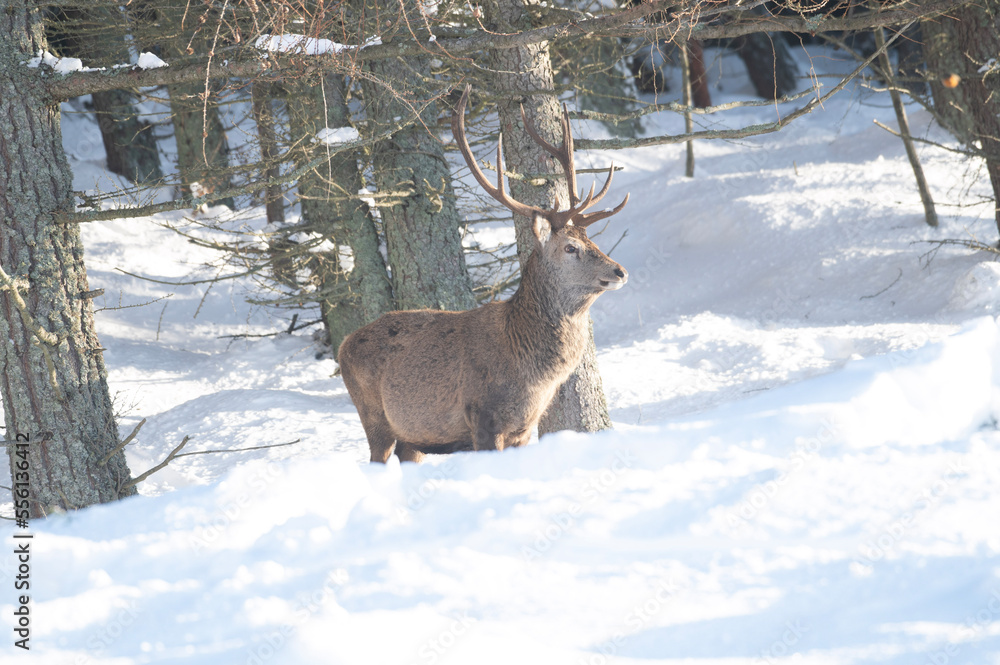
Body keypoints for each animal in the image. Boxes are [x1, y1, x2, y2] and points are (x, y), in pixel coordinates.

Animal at [337, 85, 630, 463]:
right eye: (570, 248)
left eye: (590, 239)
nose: (620, 271)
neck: (529, 372)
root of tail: (343, 346)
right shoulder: (482, 416)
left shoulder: (525, 428)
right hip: (373, 414)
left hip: (411, 435)